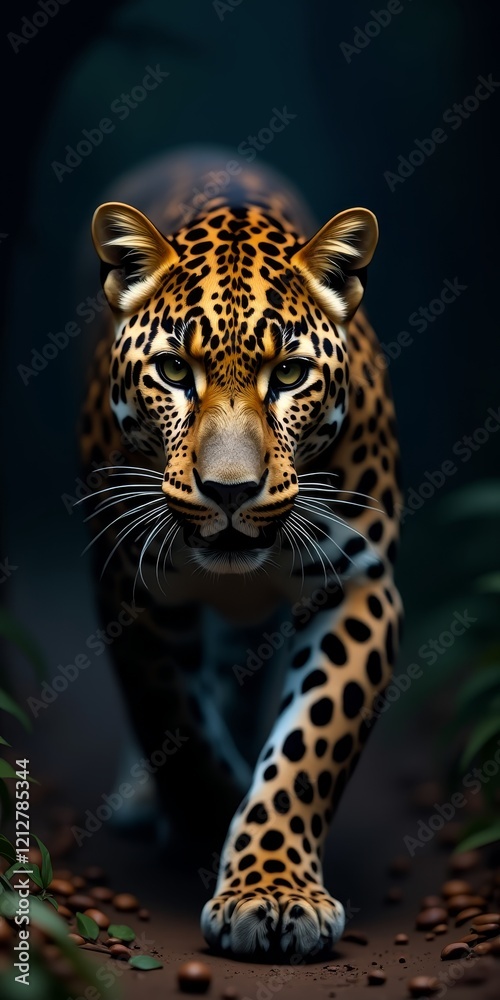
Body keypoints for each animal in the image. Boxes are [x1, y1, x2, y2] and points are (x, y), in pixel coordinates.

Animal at [80, 147, 403, 960]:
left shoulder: (360, 585)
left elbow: (310, 748)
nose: (231, 491)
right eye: (173, 372)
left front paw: (273, 890)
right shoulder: (130, 585)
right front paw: (216, 816)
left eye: (288, 375)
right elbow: (177, 725)